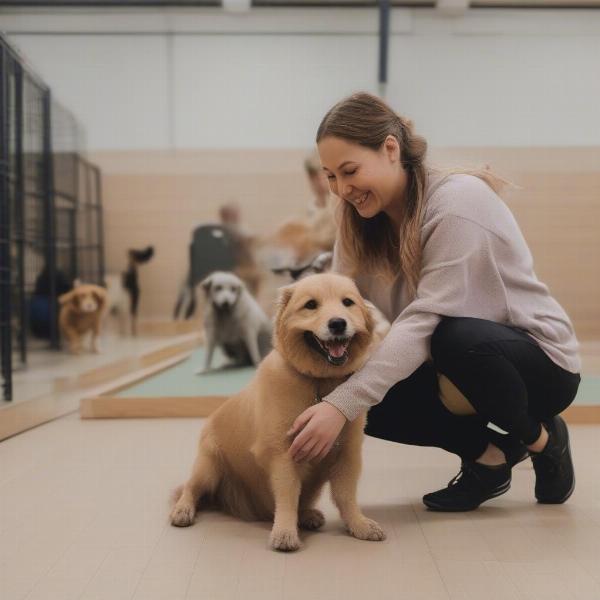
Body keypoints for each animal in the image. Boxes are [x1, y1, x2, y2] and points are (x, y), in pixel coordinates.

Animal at [170, 274, 384, 552]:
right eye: (311, 305)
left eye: (348, 302)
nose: (337, 323)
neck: (319, 383)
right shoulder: (282, 453)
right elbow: (288, 495)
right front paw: (284, 532)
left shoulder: (346, 454)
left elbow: (346, 497)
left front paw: (359, 524)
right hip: (207, 468)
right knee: (190, 489)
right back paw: (183, 510)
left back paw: (308, 515)